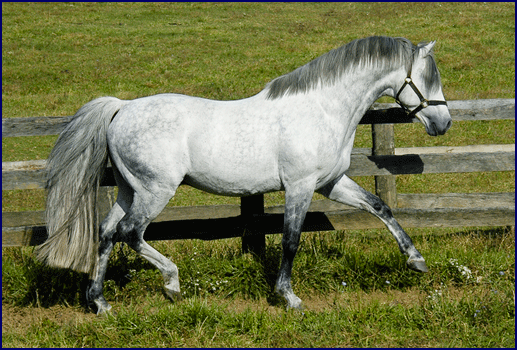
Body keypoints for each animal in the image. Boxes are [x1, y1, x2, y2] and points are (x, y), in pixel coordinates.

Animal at [35, 36, 452, 314]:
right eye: (427, 79)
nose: (443, 123)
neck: (322, 109)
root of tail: (121, 108)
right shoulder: (299, 187)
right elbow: (290, 241)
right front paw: (289, 298)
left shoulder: (330, 184)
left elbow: (380, 207)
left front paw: (416, 260)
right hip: (156, 190)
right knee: (130, 233)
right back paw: (172, 284)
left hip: (128, 189)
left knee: (106, 233)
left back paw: (100, 303)